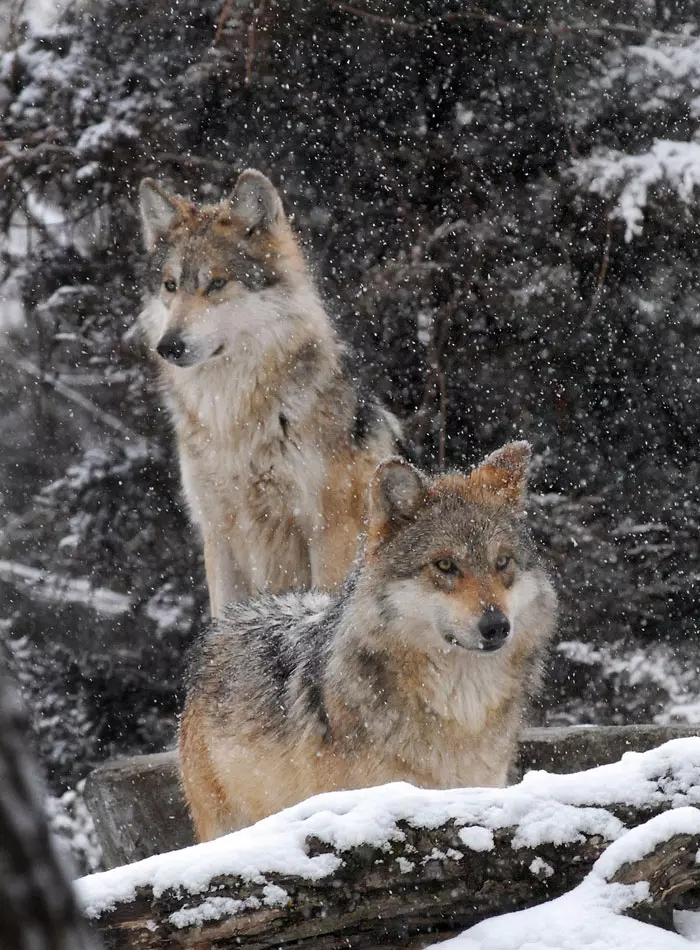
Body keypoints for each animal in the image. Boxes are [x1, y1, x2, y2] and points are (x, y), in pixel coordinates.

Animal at [138, 169, 400, 616]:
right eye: (170, 285)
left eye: (217, 284)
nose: (168, 346)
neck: (231, 420)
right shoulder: (219, 534)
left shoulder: (330, 530)